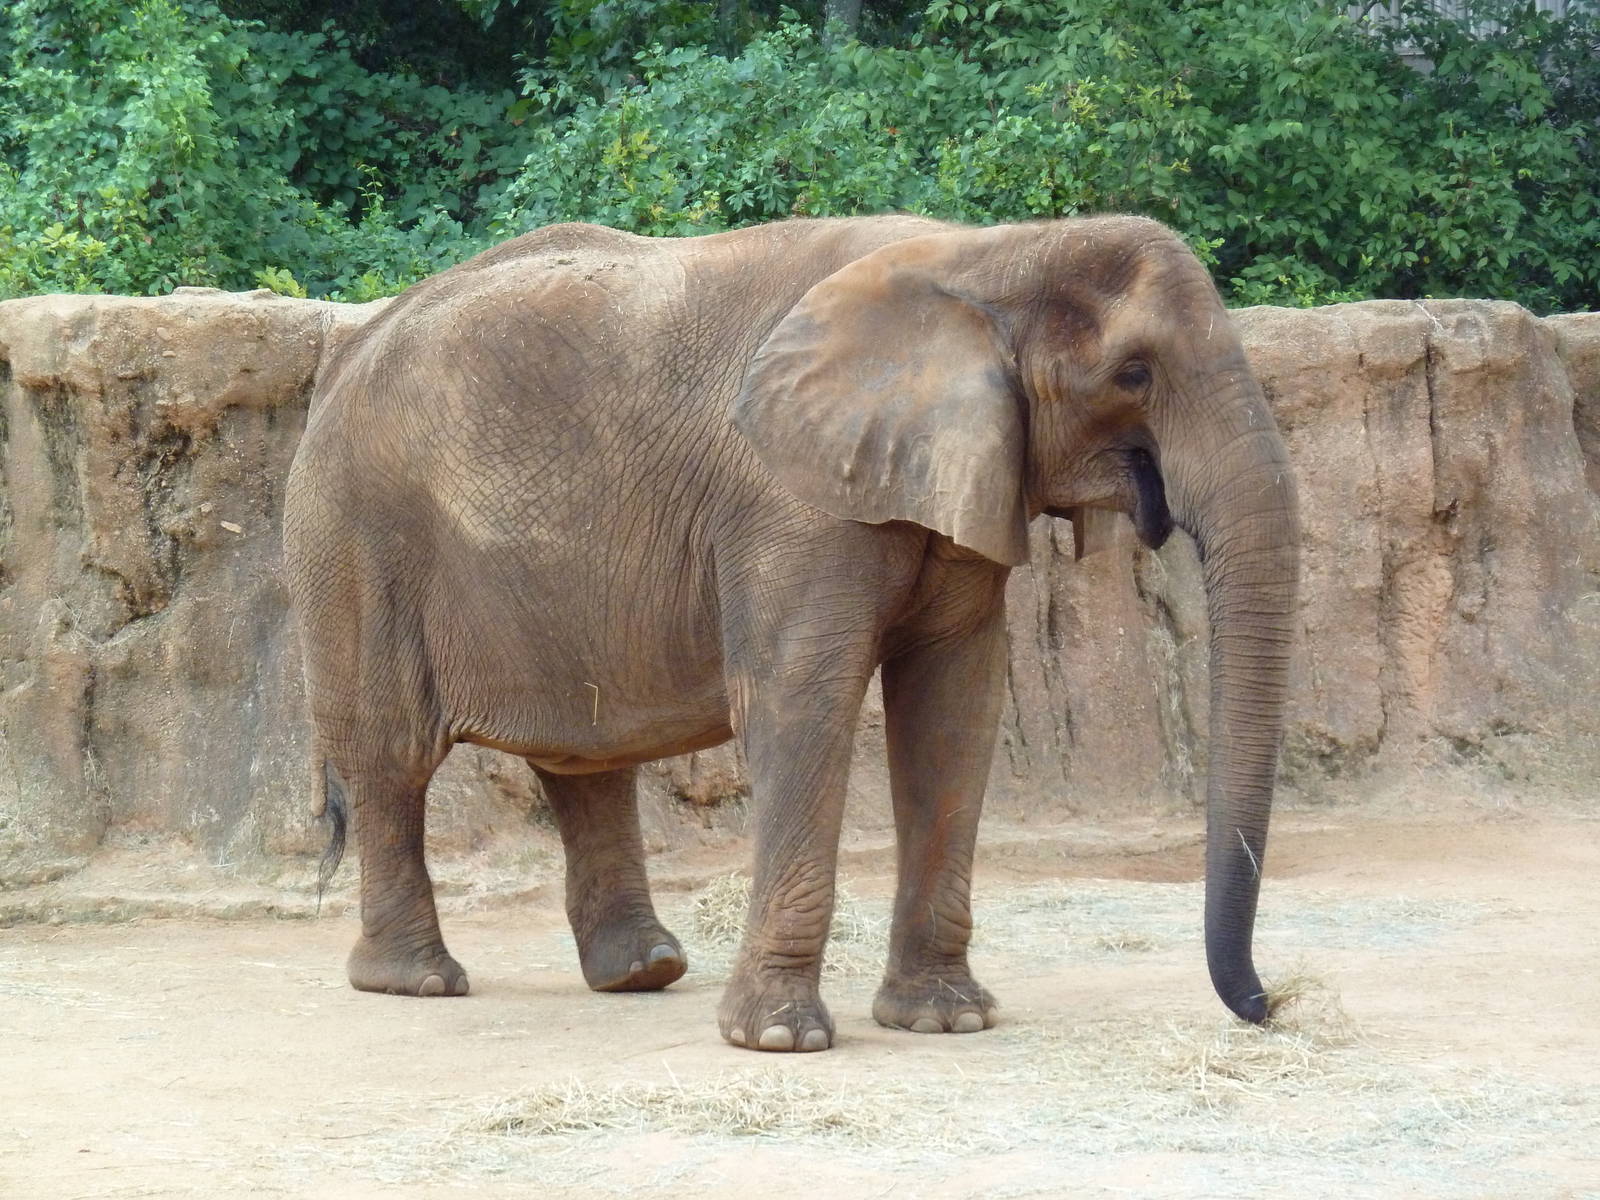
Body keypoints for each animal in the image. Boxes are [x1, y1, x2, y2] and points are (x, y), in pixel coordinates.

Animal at [282, 213, 1299, 1052]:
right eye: (1135, 373)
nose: (1271, 1004)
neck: (994, 253)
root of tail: (348, 351)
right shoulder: (787, 495)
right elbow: (799, 693)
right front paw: (779, 1040)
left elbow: (956, 702)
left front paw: (947, 1021)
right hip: (354, 540)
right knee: (392, 757)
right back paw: (417, 982)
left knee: (585, 754)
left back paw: (644, 971)